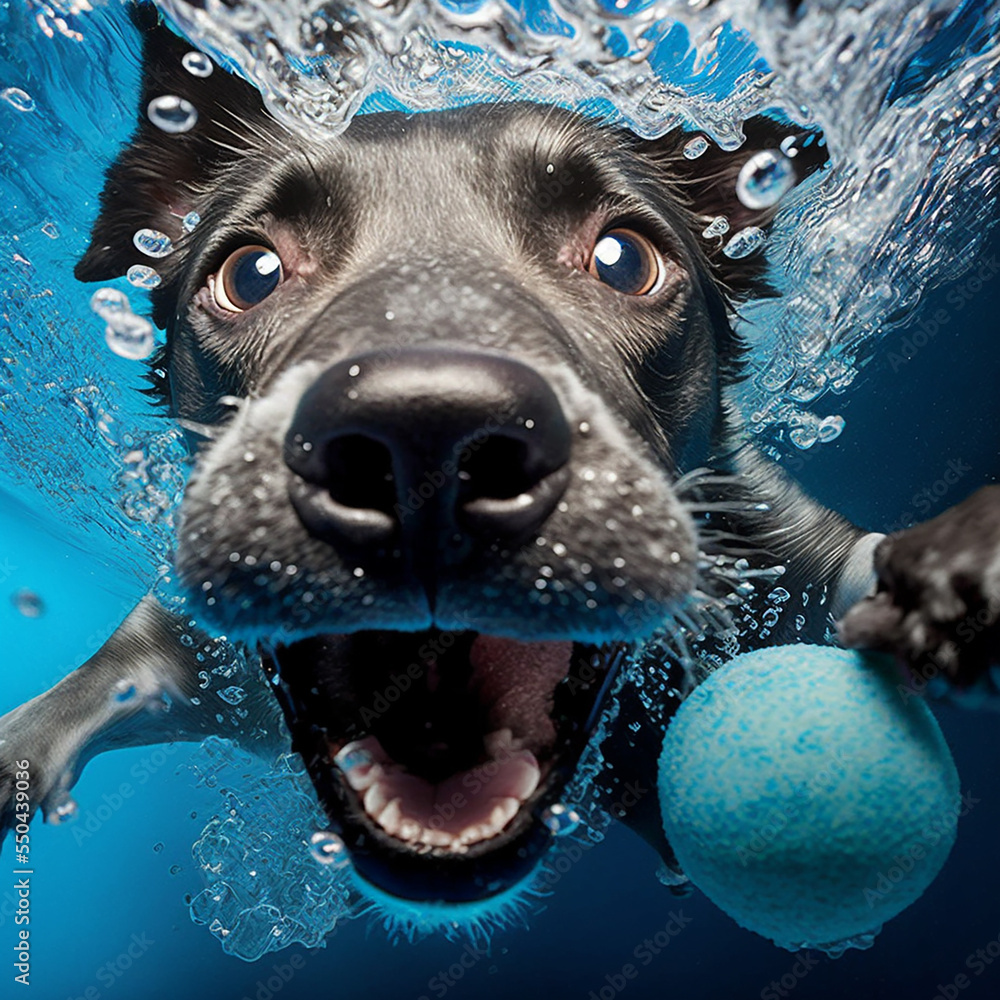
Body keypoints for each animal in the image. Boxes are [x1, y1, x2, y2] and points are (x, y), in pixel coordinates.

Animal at [1, 7, 1000, 916]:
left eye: (623, 258)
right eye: (251, 273)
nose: (425, 437)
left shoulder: (778, 551)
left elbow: (861, 561)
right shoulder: (206, 655)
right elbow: (92, 684)